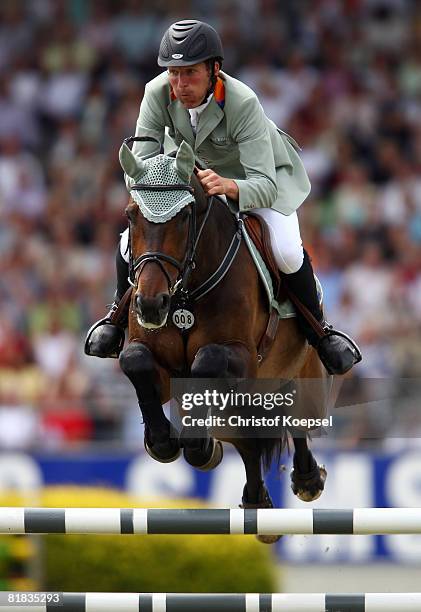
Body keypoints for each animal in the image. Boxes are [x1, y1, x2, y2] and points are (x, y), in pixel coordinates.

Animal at [116, 140, 330, 544]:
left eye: (185, 217)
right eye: (131, 215)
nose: (151, 305)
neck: (185, 294)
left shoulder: (242, 357)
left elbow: (208, 361)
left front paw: (197, 443)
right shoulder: (154, 362)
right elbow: (134, 361)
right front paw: (164, 441)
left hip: (298, 374)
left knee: (297, 420)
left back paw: (307, 479)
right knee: (247, 441)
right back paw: (255, 502)